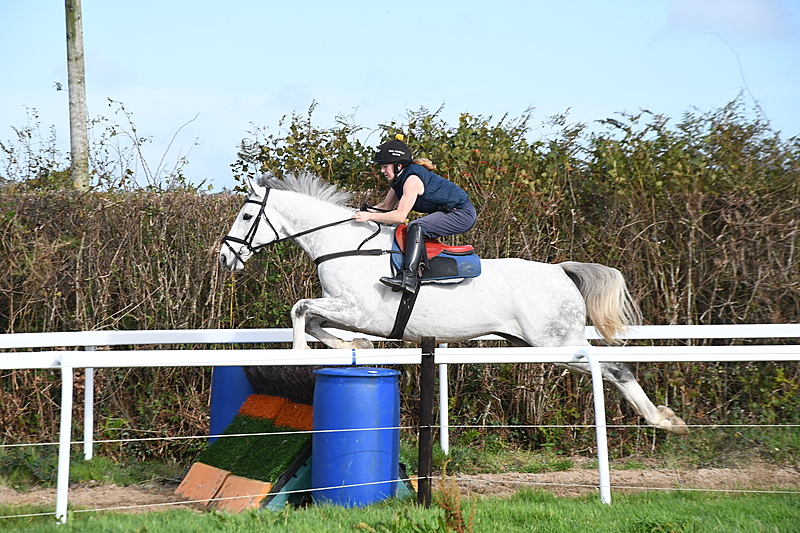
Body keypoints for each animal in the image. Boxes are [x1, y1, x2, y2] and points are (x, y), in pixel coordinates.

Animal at [219, 172, 688, 435]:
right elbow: (317, 321)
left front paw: (298, 354)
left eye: (246, 216)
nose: (225, 258)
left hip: (556, 341)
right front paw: (354, 348)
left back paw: (664, 421)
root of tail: (560, 271)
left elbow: (300, 309)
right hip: (538, 344)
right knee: (607, 369)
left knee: (615, 368)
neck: (342, 245)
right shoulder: (346, 310)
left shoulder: (358, 309)